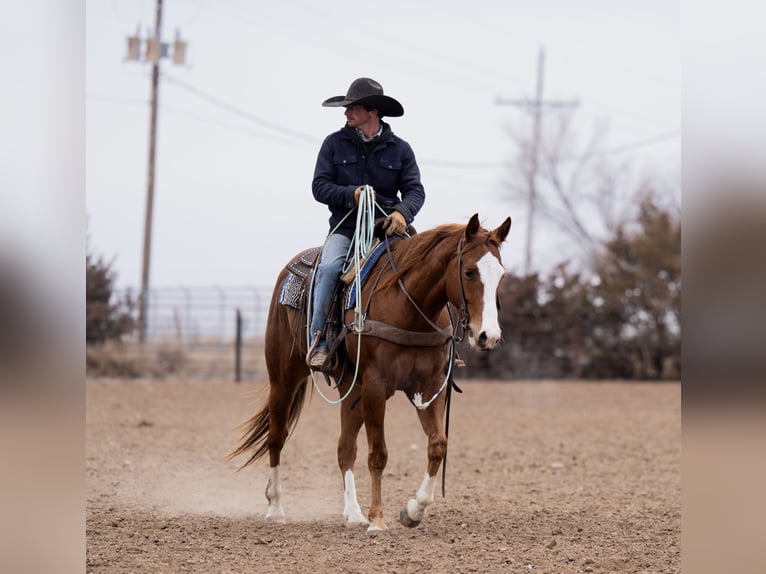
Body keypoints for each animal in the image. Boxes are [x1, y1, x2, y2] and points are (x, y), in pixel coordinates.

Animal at [231, 215, 512, 536]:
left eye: (502, 276)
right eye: (468, 271)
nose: (488, 336)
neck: (408, 305)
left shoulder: (429, 387)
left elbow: (437, 445)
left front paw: (413, 510)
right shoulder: (376, 388)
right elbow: (378, 453)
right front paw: (378, 518)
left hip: (350, 388)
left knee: (345, 448)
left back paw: (353, 513)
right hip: (284, 378)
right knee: (277, 437)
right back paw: (276, 508)